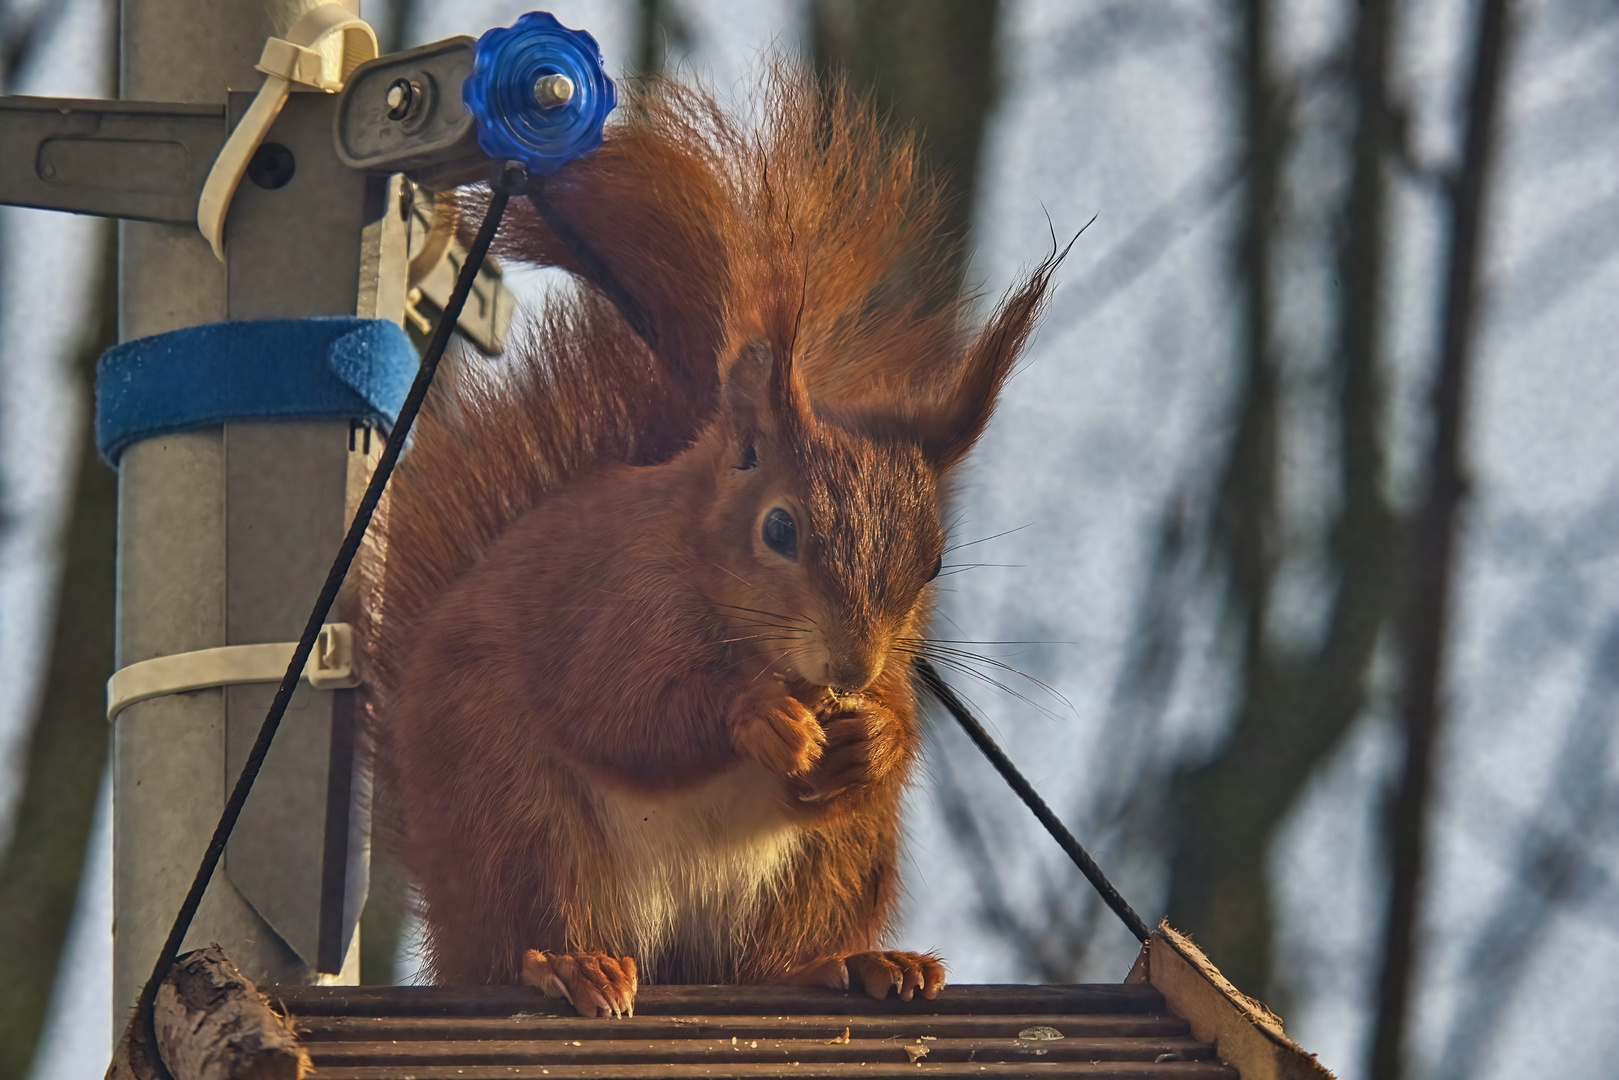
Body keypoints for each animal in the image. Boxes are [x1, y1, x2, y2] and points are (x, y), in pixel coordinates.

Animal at [357, 71, 1062, 1016]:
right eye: (779, 528)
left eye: (935, 561)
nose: (851, 668)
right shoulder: (605, 606)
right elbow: (623, 712)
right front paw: (757, 716)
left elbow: (897, 726)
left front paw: (872, 733)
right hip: (517, 823)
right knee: (522, 937)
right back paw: (569, 966)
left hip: (832, 864)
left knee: (763, 964)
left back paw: (856, 963)